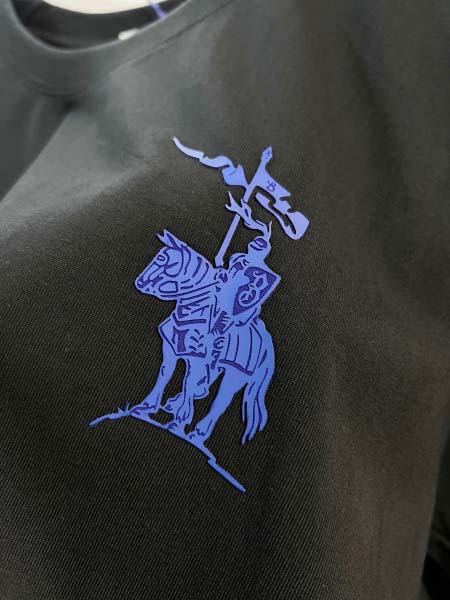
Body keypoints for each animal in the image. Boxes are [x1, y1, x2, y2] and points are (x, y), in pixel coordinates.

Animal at [132, 229, 276, 445]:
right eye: (158, 255)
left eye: (163, 259)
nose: (139, 282)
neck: (193, 311)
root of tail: (266, 342)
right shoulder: (171, 349)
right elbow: (165, 375)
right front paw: (146, 407)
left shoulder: (199, 359)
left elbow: (190, 383)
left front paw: (179, 422)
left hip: (236, 374)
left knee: (221, 402)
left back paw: (198, 432)